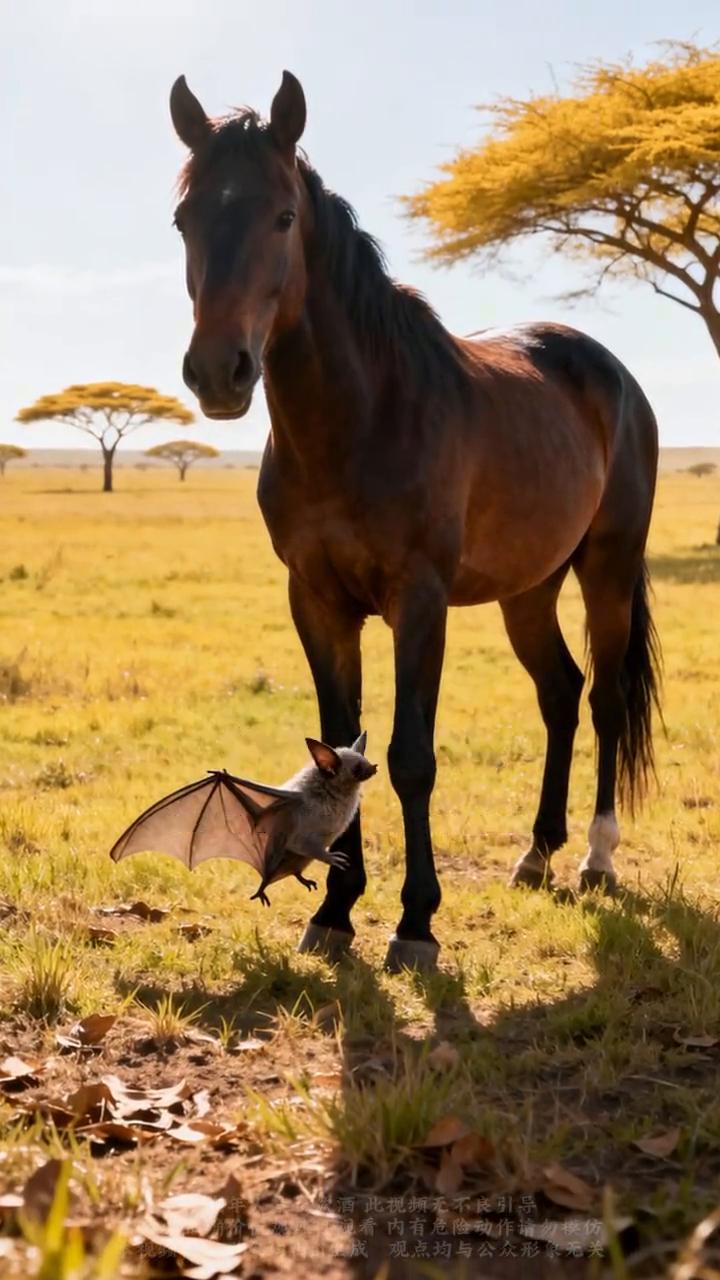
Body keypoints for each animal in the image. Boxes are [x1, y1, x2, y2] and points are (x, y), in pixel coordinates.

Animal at [168, 70, 661, 972]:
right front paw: (334, 910)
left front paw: (416, 923)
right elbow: (337, 745)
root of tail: (607, 370)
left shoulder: (419, 602)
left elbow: (409, 758)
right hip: (528, 589)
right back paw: (535, 853)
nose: (219, 372)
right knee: (561, 694)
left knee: (607, 701)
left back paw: (596, 857)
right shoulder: (317, 603)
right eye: (185, 218)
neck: (360, 419)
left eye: (282, 216)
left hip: (606, 569)